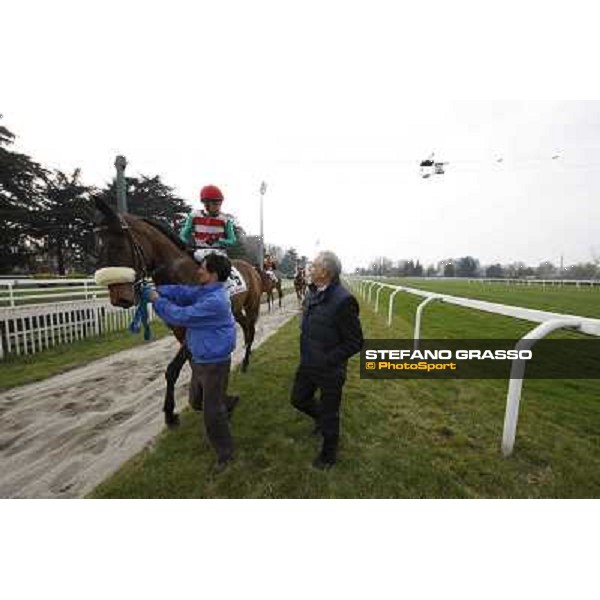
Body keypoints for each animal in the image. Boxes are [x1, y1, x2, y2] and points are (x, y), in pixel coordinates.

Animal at [92, 200, 262, 426]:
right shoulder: (180, 331)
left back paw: (245, 362)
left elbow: (176, 369)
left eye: (119, 246)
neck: (182, 276)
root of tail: (251, 266)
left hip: (252, 305)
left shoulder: (194, 328)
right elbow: (186, 367)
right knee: (246, 329)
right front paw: (173, 411)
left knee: (251, 331)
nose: (120, 298)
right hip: (235, 311)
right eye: (98, 248)